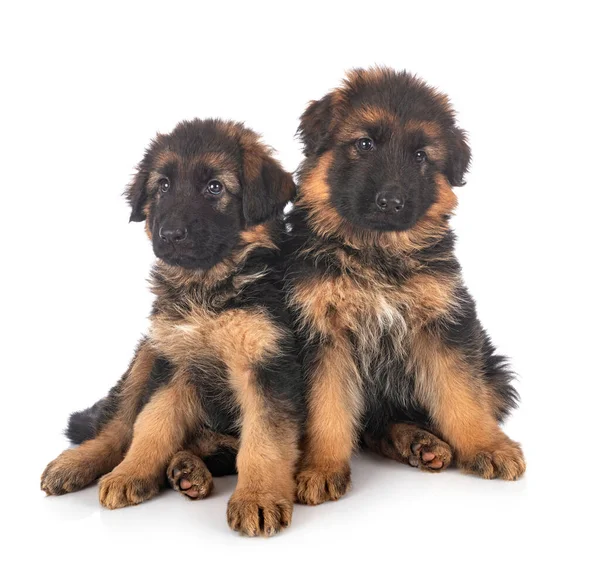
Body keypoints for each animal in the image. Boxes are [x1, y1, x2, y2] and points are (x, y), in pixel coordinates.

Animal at [41, 117, 302, 536]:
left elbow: (265, 438)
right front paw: (131, 472)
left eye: (215, 187)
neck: (207, 289)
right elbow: (152, 422)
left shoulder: (267, 363)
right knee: (118, 423)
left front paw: (258, 497)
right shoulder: (175, 360)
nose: (171, 235)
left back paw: (188, 469)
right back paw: (81, 463)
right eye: (162, 185)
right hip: (147, 354)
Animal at [284, 68, 524, 504]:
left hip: (495, 373)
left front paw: (487, 446)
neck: (377, 252)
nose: (391, 201)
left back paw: (422, 441)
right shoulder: (322, 334)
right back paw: (415, 443)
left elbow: (462, 393)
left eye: (420, 156)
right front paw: (322, 466)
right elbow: (327, 407)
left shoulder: (444, 323)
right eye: (364, 144)